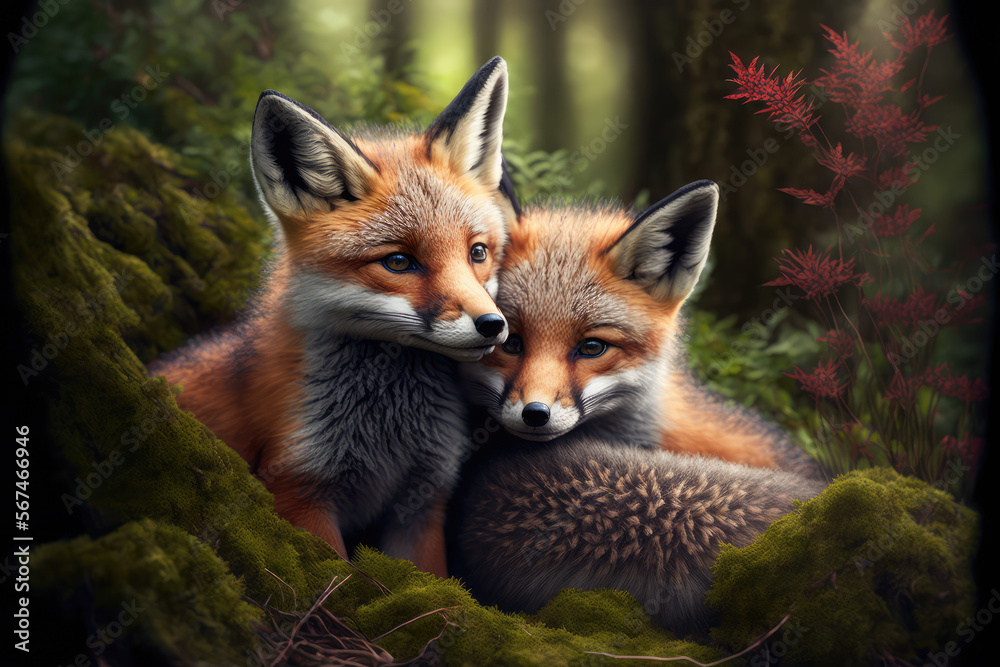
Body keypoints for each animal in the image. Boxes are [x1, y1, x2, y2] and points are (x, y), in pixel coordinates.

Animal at [148, 57, 519, 577]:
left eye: (478, 253)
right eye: (398, 262)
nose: (493, 326)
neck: (388, 434)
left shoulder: (422, 504)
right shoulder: (301, 491)